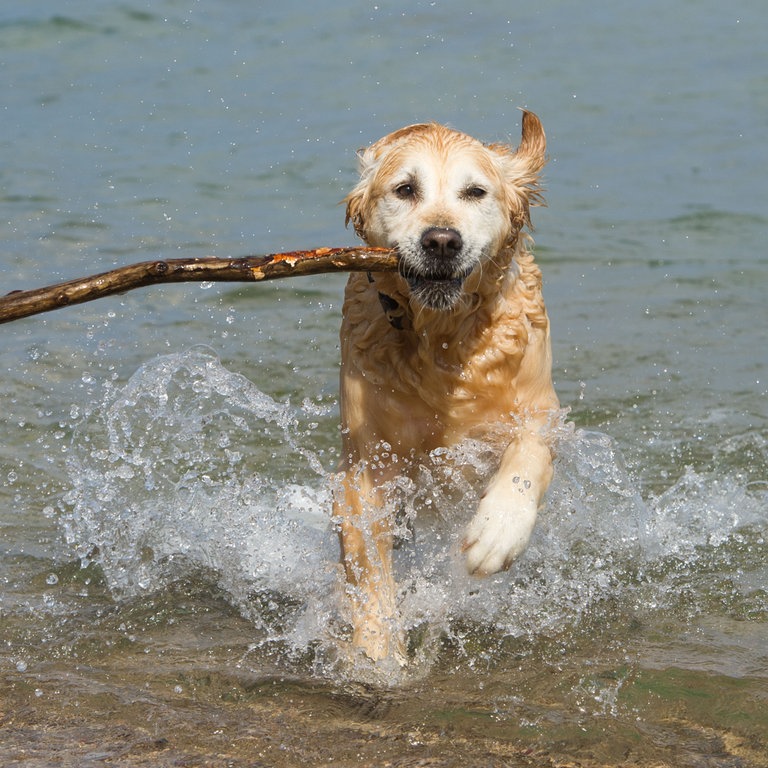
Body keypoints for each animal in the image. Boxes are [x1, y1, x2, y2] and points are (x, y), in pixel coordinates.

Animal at [334, 111, 560, 664]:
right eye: (405, 189)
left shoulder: (541, 408)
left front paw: (497, 533)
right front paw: (377, 652)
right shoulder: (366, 462)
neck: (442, 341)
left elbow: (528, 455)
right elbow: (369, 564)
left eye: (475, 191)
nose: (441, 241)